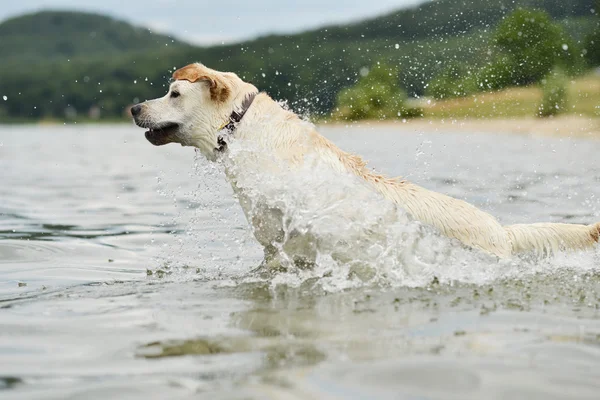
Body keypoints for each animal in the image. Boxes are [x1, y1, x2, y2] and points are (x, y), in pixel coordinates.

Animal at [132, 63, 600, 266]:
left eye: (174, 93)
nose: (134, 107)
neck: (241, 130)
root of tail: (502, 232)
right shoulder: (274, 243)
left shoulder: (290, 237)